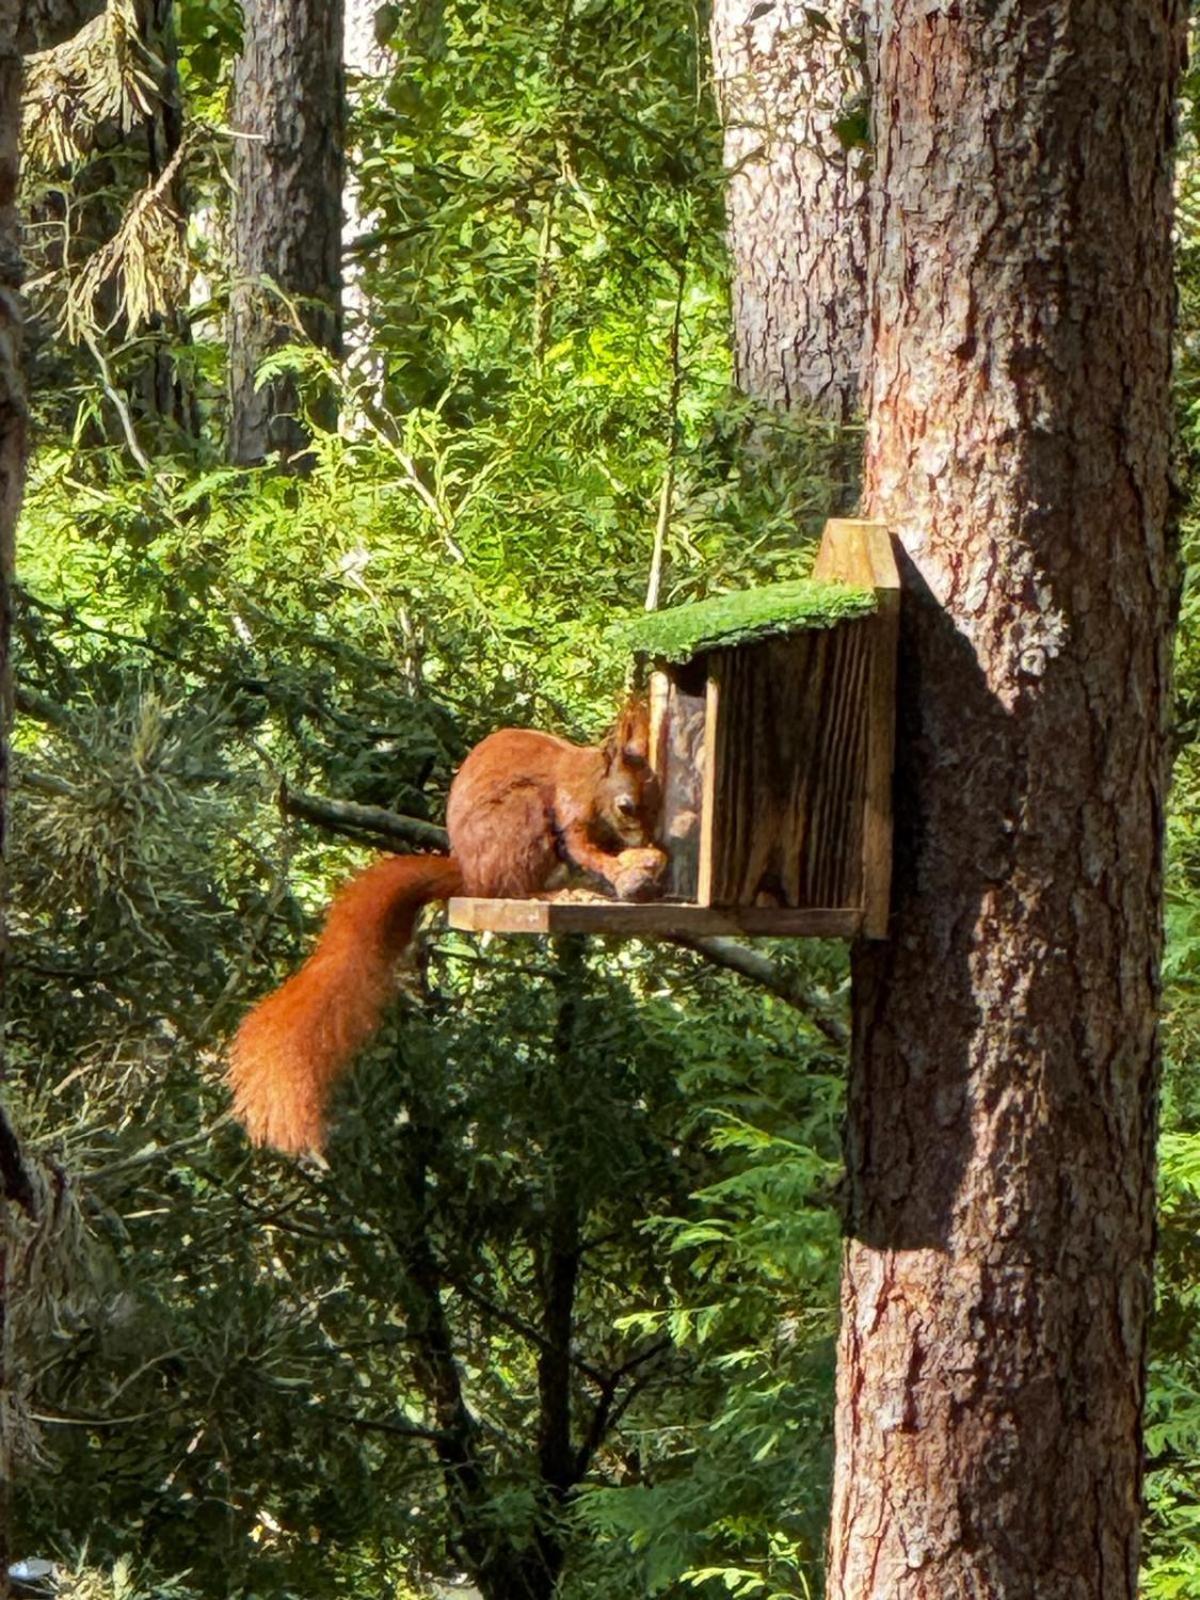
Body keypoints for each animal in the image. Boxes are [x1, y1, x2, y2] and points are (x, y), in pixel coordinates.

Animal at [224, 700, 659, 1152]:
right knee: (515, 889)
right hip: (518, 822)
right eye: (627, 805)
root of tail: (469, 876)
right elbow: (580, 845)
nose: (645, 839)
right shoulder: (571, 804)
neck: (591, 781)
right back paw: (553, 894)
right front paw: (617, 867)